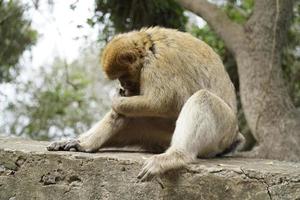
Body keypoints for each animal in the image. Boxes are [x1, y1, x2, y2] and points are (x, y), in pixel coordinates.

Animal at [47, 27, 244, 181]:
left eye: (123, 77)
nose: (124, 87)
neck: (147, 44)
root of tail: (234, 136)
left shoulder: (159, 63)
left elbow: (163, 102)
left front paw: (117, 100)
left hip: (223, 132)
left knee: (203, 98)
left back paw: (176, 156)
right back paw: (86, 143)